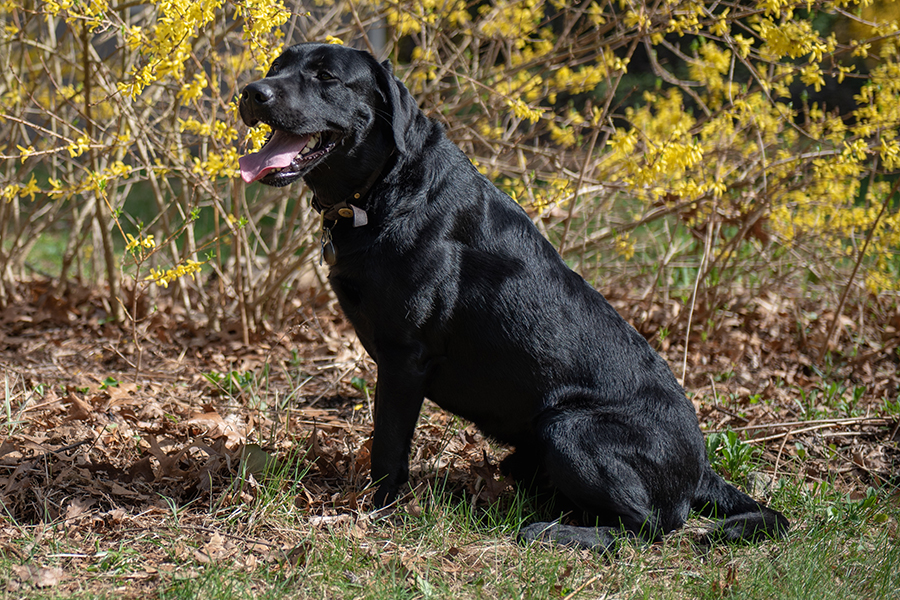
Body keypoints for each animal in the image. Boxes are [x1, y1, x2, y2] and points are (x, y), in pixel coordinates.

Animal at [239, 41, 788, 548]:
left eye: (326, 76)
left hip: (568, 428)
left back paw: (554, 532)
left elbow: (388, 448)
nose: (251, 91)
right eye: (276, 66)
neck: (382, 191)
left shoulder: (403, 359)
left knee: (651, 525)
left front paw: (377, 511)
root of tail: (701, 469)